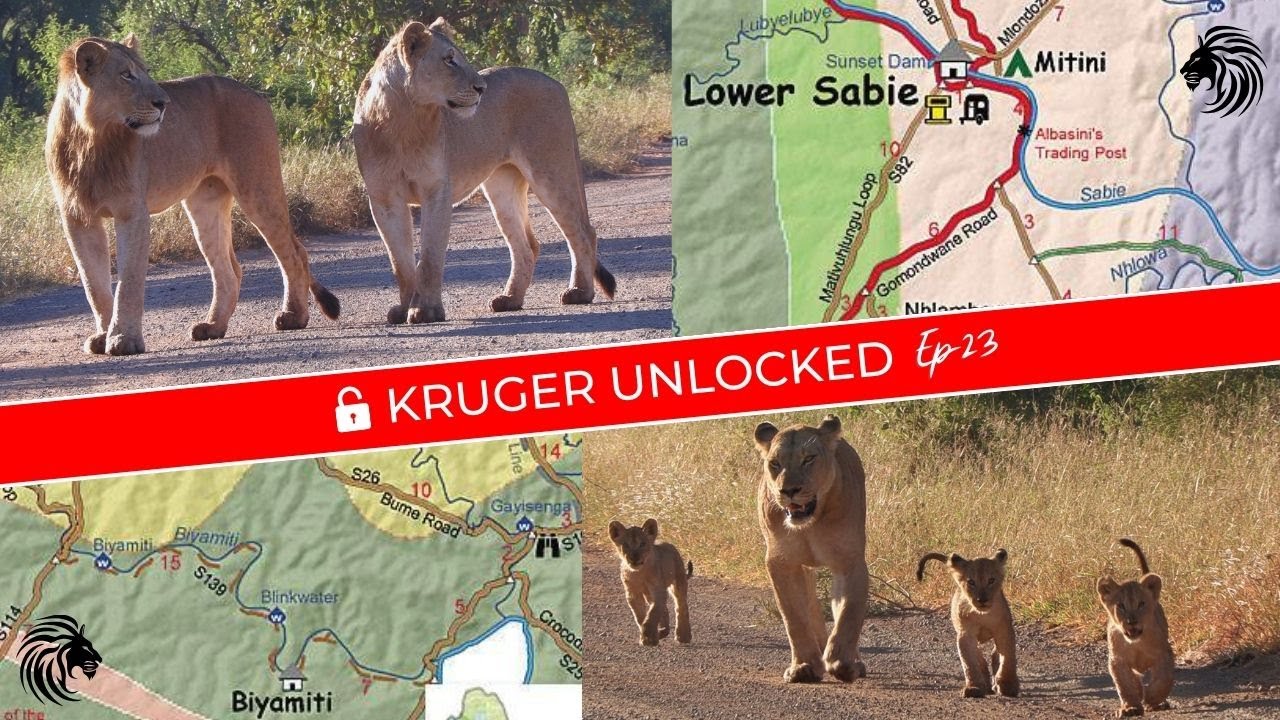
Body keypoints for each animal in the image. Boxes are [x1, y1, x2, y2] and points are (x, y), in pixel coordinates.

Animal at [45, 35, 339, 356]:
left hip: (258, 187)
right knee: (229, 270)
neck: (90, 140)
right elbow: (93, 284)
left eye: (146, 72)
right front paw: (102, 336)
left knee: (294, 253)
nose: (163, 103)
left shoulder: (132, 212)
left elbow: (128, 281)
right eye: (126, 75)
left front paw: (124, 339)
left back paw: (292, 316)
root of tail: (256, 93)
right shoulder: (77, 217)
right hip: (204, 203)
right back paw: (212, 326)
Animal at [352, 18, 615, 325]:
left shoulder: (437, 191)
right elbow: (400, 261)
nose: (482, 88)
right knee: (527, 246)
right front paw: (404, 309)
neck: (400, 120)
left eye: (460, 57)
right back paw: (509, 299)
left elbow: (429, 257)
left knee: (583, 232)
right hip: (502, 186)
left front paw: (427, 311)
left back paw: (579, 292)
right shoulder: (383, 199)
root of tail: (556, 83)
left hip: (551, 171)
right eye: (449, 60)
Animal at [754, 415, 868, 683]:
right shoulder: (781, 562)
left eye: (809, 459)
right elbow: (794, 615)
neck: (810, 524)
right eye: (775, 463)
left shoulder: (850, 561)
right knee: (812, 607)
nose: (788, 490)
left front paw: (841, 663)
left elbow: (849, 613)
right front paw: (804, 666)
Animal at [917, 549, 1019, 698]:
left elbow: (1008, 658)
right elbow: (969, 661)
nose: (982, 600)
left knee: (995, 655)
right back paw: (986, 684)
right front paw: (974, 687)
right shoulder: (965, 634)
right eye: (971, 582)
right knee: (981, 659)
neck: (982, 615)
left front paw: (1008, 686)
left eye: (991, 580)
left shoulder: (1004, 631)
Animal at [1097, 538, 1174, 717]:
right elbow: (1125, 684)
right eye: (1121, 606)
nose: (1131, 621)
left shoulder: (1164, 654)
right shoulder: (1117, 660)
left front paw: (1152, 700)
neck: (1136, 642)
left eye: (1141, 604)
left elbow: (1163, 679)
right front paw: (1131, 707)